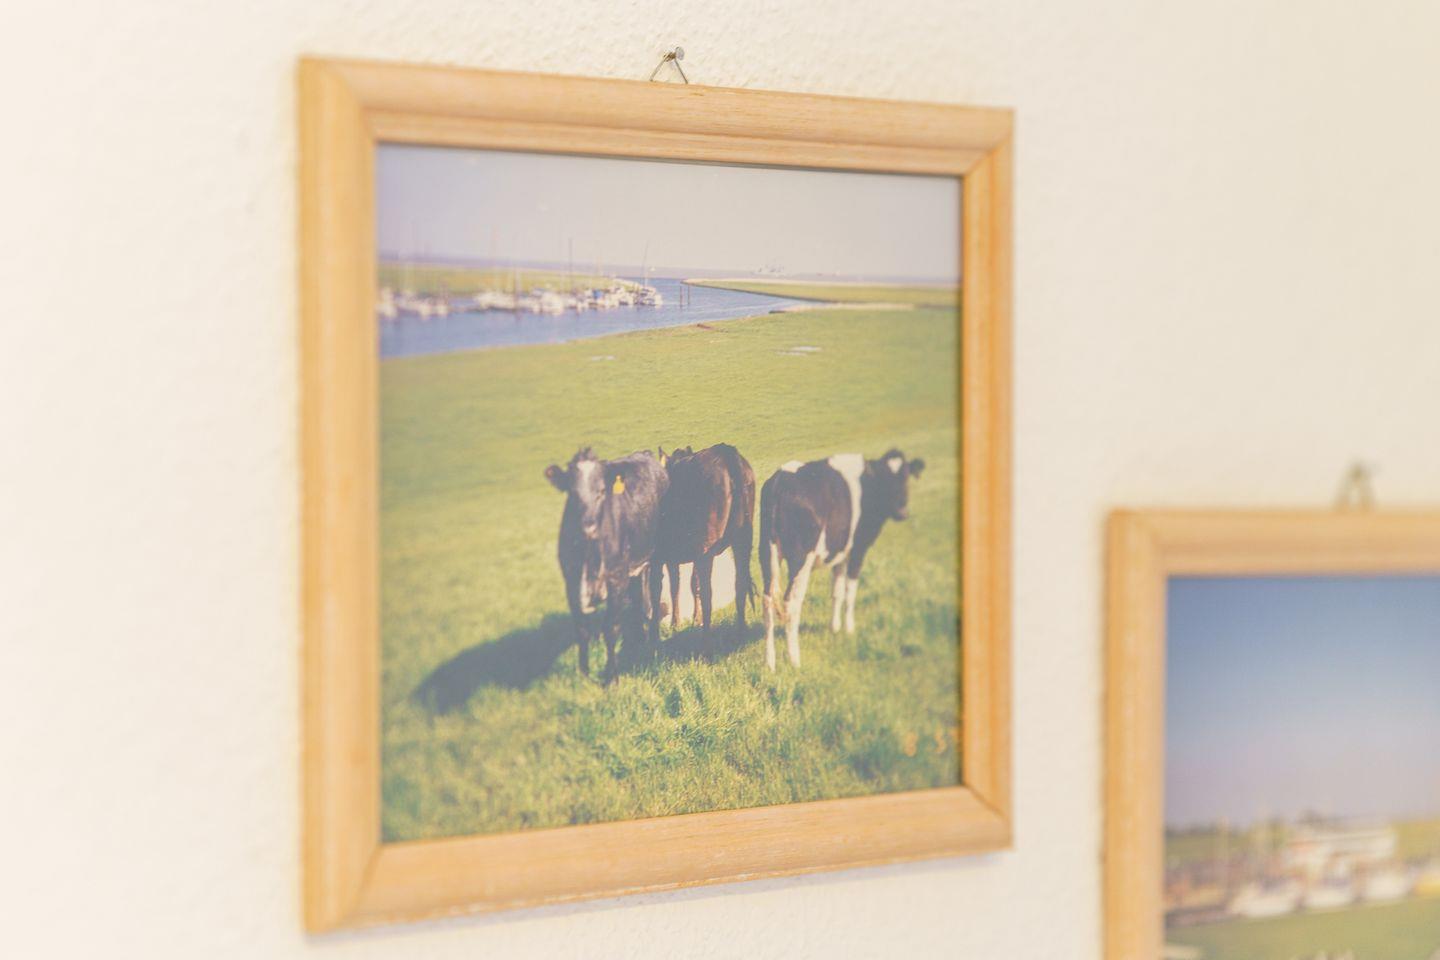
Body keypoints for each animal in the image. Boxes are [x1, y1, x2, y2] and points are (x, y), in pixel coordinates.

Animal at [544, 447, 669, 682]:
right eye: (572, 493)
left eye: (601, 492)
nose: (588, 526)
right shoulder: (571, 582)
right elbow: (582, 630)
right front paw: (584, 676)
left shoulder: (616, 579)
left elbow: (610, 628)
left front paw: (611, 677)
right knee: (638, 596)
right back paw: (640, 636)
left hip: (658, 555)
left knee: (655, 591)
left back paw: (653, 637)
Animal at [652, 443, 756, 634]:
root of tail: (725, 452)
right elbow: (689, 584)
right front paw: (691, 619)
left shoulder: (660, 557)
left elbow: (667, 588)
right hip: (742, 539)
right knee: (740, 583)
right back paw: (741, 629)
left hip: (706, 547)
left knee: (708, 592)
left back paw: (706, 636)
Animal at [757, 449, 925, 670]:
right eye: (886, 478)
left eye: (906, 476)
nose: (902, 513)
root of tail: (781, 479)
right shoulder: (858, 549)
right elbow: (850, 591)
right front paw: (849, 629)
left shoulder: (840, 554)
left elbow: (836, 591)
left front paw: (834, 627)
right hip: (800, 558)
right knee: (791, 603)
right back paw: (795, 660)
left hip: (767, 552)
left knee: (768, 600)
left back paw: (769, 663)